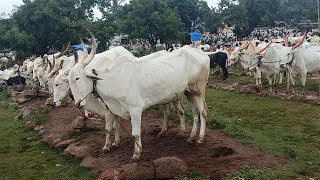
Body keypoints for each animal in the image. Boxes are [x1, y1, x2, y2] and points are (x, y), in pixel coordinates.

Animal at [68, 32, 210, 159]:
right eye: (68, 80)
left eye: (77, 78)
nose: (77, 103)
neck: (113, 79)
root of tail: (202, 53)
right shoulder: (112, 109)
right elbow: (109, 128)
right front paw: (107, 146)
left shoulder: (135, 110)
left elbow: (135, 134)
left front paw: (137, 153)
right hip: (188, 92)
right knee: (195, 114)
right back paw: (191, 137)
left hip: (198, 90)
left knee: (202, 112)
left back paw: (200, 138)